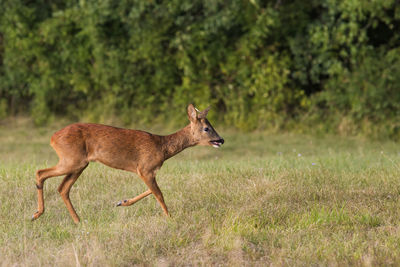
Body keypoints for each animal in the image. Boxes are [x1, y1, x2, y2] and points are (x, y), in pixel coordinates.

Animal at [32, 104, 223, 224]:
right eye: (206, 128)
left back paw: (78, 221)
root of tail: (52, 138)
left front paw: (122, 202)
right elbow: (159, 194)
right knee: (41, 172)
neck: (162, 147)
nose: (221, 140)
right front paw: (170, 218)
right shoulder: (145, 168)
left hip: (79, 164)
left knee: (62, 188)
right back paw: (37, 214)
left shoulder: (146, 171)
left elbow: (151, 191)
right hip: (72, 160)